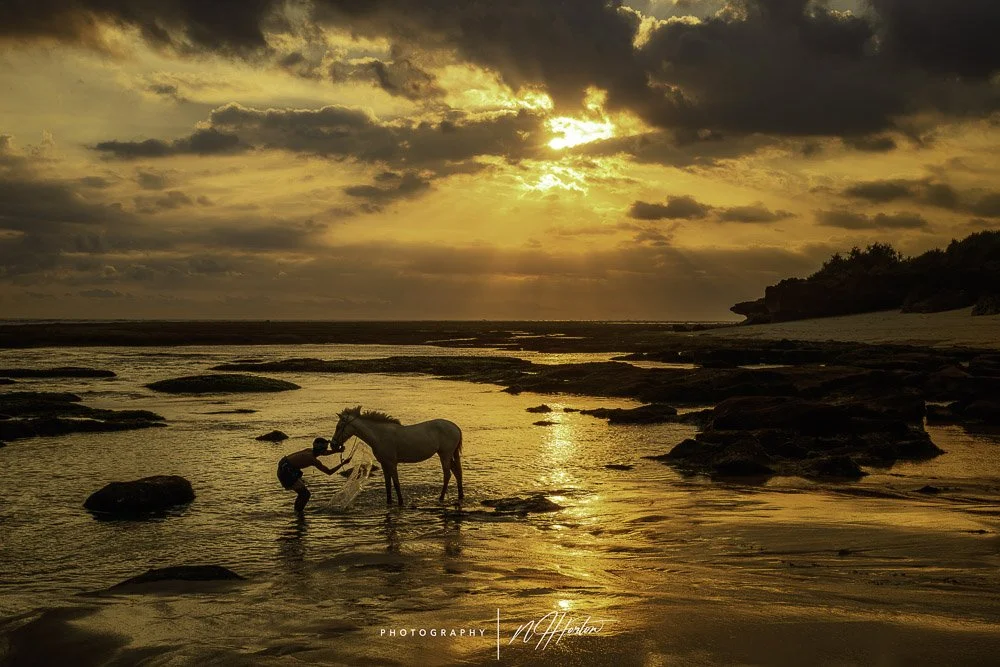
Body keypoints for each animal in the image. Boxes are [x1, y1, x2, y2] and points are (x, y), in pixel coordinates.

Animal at [331, 406, 464, 506]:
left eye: (339, 427)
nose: (333, 444)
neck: (379, 435)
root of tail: (456, 427)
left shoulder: (392, 463)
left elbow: (396, 483)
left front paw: (400, 502)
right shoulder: (384, 464)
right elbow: (388, 485)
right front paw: (389, 502)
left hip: (445, 455)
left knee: (447, 474)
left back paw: (441, 498)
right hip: (448, 455)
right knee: (457, 472)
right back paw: (460, 496)